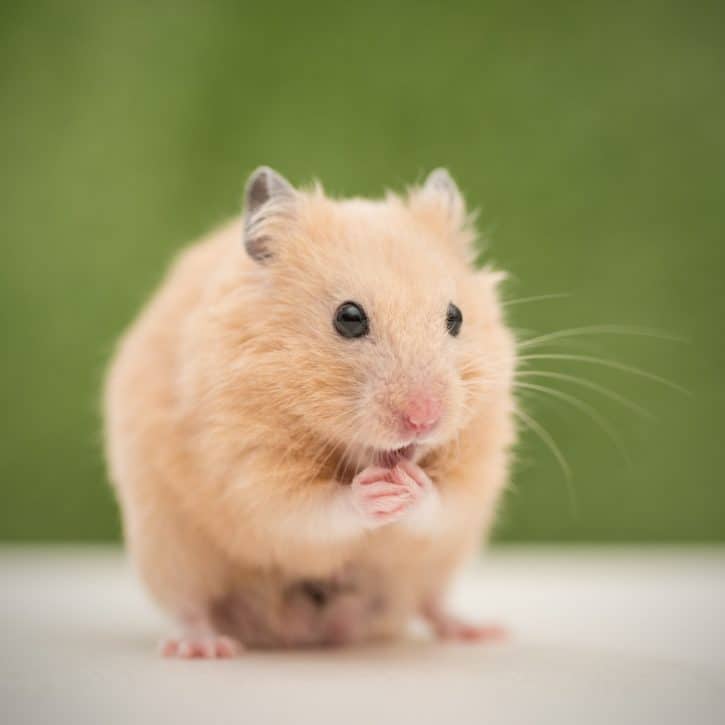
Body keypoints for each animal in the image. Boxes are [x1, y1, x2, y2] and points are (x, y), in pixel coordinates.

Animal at [104, 167, 516, 657]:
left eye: (455, 317)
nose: (424, 419)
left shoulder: (478, 468)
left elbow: (444, 501)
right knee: (190, 606)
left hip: (437, 564)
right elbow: (309, 511)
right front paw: (376, 490)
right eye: (349, 318)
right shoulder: (247, 468)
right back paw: (204, 647)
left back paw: (478, 630)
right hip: (168, 548)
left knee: (430, 601)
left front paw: (411, 486)